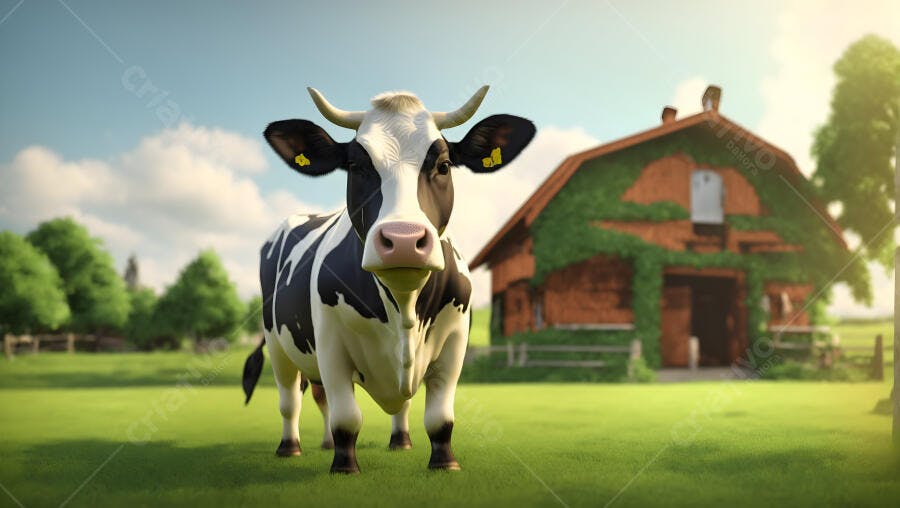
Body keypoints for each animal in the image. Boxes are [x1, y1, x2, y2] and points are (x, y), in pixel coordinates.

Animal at [242, 86, 535, 473]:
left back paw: (394, 441)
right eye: (356, 166)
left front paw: (444, 462)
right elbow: (346, 415)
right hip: (277, 344)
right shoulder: (330, 343)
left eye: (443, 165)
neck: (404, 305)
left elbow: (440, 416)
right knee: (291, 399)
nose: (404, 240)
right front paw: (344, 466)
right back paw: (291, 447)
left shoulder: (455, 340)